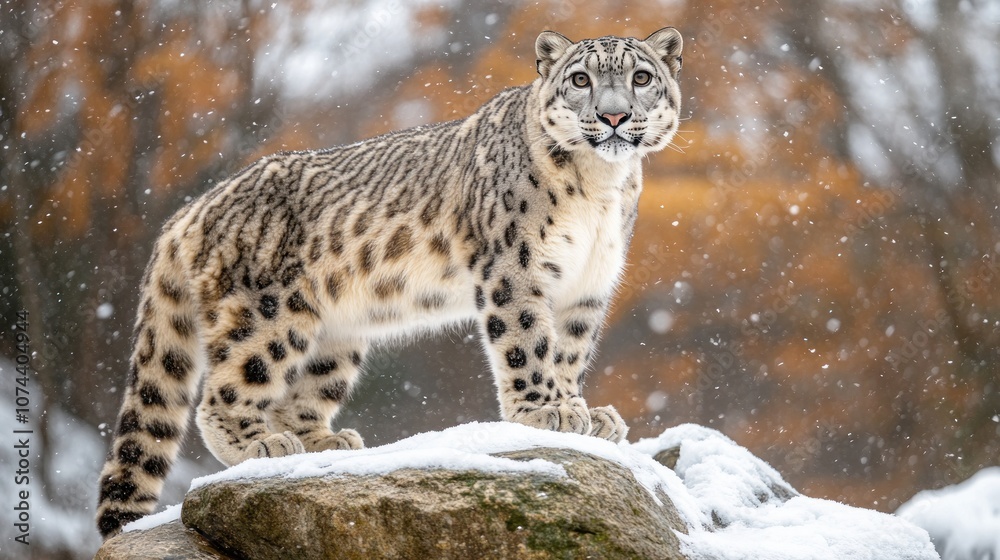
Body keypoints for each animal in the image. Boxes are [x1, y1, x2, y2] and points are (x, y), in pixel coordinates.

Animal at [96, 27, 683, 538]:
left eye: (641, 77)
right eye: (581, 79)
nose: (613, 114)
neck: (600, 188)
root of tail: (190, 212)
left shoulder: (585, 289)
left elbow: (568, 351)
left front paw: (584, 412)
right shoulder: (516, 270)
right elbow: (527, 343)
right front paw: (546, 411)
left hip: (338, 334)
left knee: (302, 393)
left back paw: (327, 444)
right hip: (268, 314)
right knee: (226, 390)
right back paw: (263, 446)